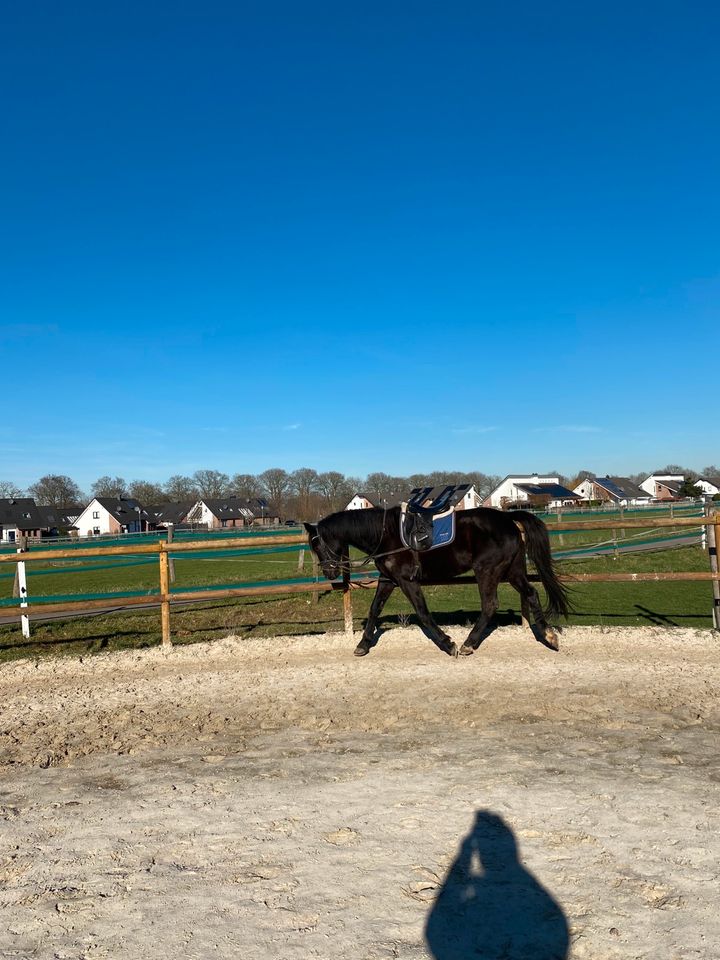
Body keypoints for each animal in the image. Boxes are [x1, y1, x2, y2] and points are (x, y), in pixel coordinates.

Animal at [302, 506, 568, 656]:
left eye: (318, 544)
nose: (329, 573)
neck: (386, 535)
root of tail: (507, 518)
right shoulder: (388, 579)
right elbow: (374, 609)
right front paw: (363, 644)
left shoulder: (407, 580)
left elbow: (423, 612)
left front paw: (447, 644)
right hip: (512, 570)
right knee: (531, 593)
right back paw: (549, 637)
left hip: (487, 571)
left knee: (490, 605)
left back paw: (468, 644)